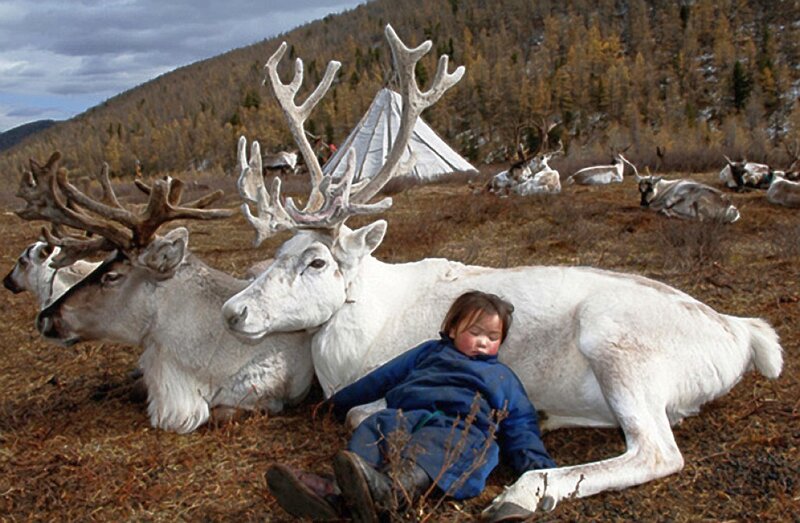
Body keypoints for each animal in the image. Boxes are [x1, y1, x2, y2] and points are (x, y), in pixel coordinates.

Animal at [219, 25, 782, 519]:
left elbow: (363, 411)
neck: (356, 338)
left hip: (619, 346)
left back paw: (524, 492)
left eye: (316, 261)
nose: (232, 311)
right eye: (279, 251)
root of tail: (741, 333)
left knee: (657, 451)